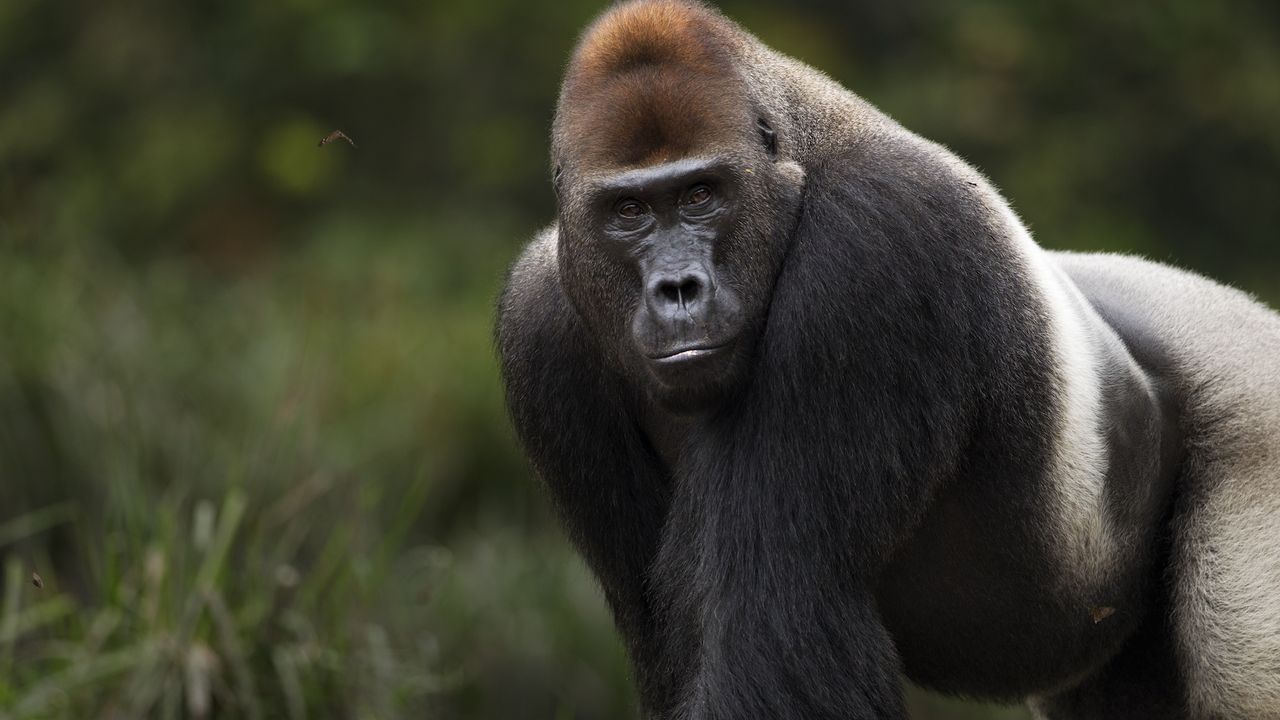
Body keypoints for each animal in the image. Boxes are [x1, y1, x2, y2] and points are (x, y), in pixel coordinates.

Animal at [495, 2, 1280, 718]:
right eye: (628, 212)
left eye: (700, 195)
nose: (677, 289)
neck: (801, 149)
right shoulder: (539, 323)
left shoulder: (873, 248)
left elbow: (779, 631)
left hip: (1257, 413)